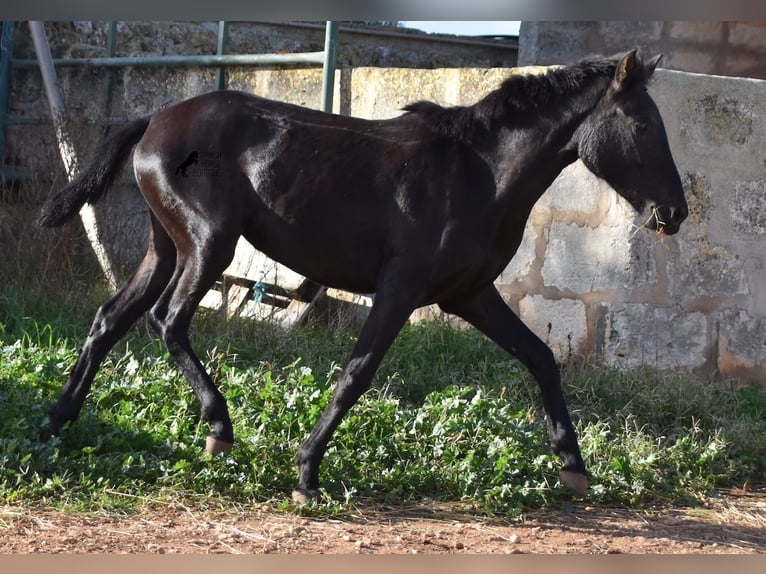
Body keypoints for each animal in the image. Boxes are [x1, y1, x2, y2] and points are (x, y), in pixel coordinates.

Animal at [37, 50, 688, 504]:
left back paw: (56, 423)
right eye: (643, 125)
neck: (478, 173)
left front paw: (573, 469)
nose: (675, 213)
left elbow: (541, 358)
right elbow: (357, 373)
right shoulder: (399, 291)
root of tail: (153, 121)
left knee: (110, 319)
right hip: (208, 245)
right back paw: (218, 427)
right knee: (166, 321)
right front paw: (306, 472)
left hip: (166, 249)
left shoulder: (469, 296)